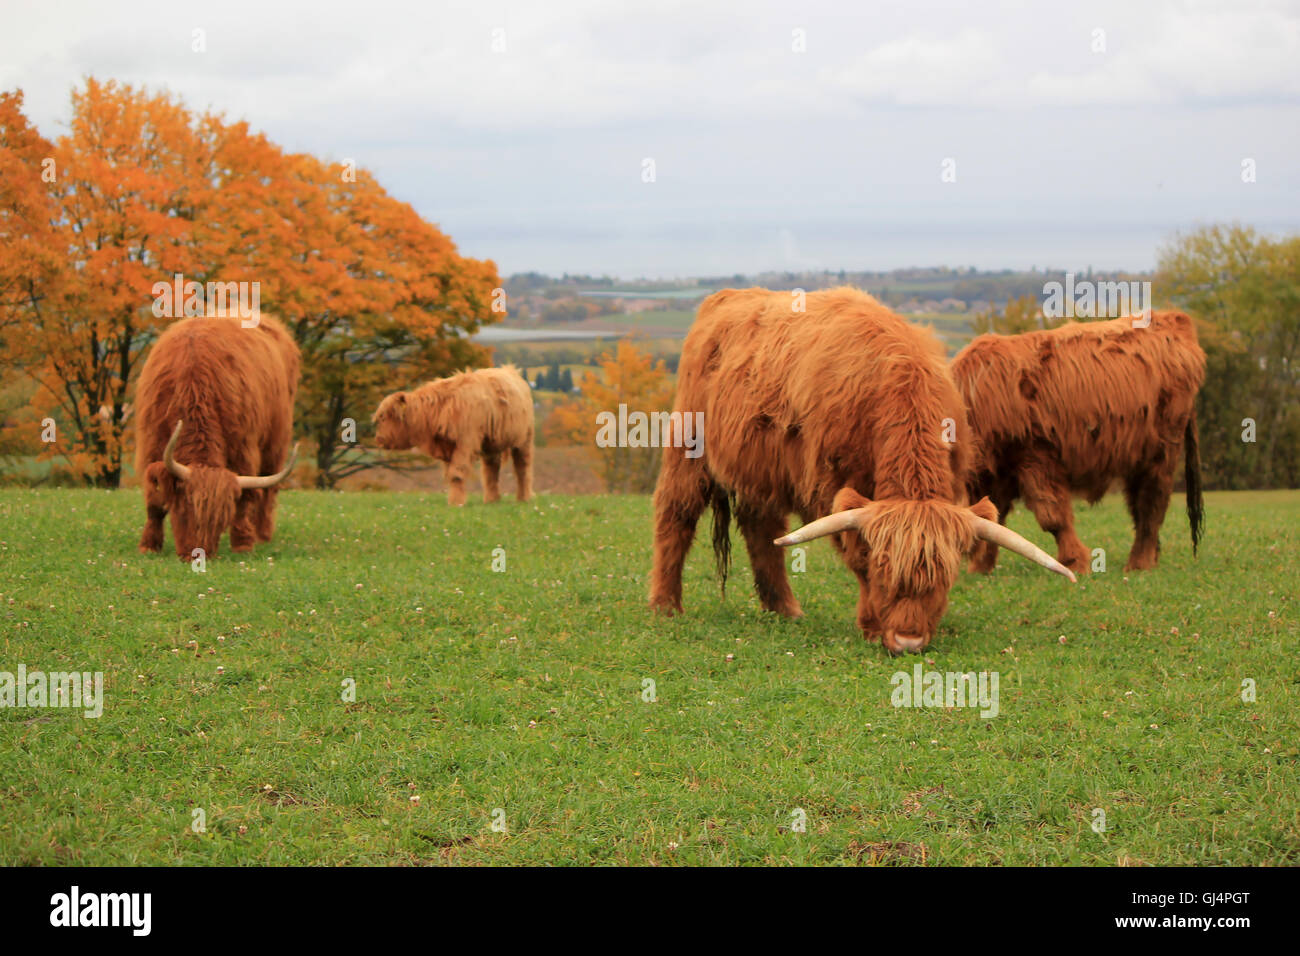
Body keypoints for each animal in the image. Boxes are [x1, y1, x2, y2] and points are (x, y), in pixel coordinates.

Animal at [135, 313, 300, 560]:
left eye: (220, 523)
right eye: (185, 510)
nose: (196, 556)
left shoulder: (244, 448)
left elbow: (245, 499)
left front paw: (243, 543)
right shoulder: (151, 445)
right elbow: (154, 502)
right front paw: (149, 545)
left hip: (276, 443)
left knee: (267, 491)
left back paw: (261, 535)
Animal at [371, 365, 534, 506]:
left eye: (386, 417)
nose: (379, 439)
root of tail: (511, 370)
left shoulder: (465, 443)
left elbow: (456, 473)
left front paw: (457, 502)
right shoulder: (448, 448)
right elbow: (451, 474)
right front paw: (454, 500)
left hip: (524, 440)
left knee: (522, 468)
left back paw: (523, 498)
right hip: (491, 444)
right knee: (491, 470)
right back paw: (492, 500)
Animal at [649, 287, 1074, 654]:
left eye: (944, 577)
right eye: (883, 570)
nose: (908, 641)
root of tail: (727, 297)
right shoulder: (835, 487)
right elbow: (855, 552)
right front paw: (871, 625)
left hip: (762, 470)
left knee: (762, 530)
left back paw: (784, 608)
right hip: (687, 444)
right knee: (676, 515)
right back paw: (665, 605)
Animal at [950, 310, 1206, 575]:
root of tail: (1173, 318)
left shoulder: (1036, 458)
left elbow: (1052, 517)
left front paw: (1074, 561)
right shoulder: (996, 473)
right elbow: (994, 518)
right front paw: (981, 567)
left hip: (1161, 452)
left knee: (1151, 504)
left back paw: (1139, 563)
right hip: (1137, 455)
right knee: (1140, 504)